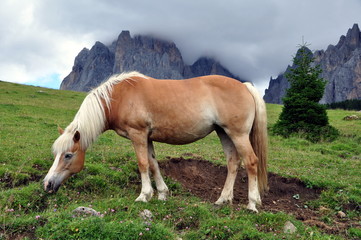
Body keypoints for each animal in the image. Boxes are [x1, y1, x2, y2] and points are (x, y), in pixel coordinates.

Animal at [43, 71, 268, 212]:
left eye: (68, 155)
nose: (47, 184)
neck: (119, 97)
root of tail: (245, 86)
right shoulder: (148, 138)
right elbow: (153, 164)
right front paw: (161, 194)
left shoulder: (138, 135)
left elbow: (142, 164)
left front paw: (144, 195)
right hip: (224, 133)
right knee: (233, 163)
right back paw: (222, 200)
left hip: (238, 134)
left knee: (251, 162)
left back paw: (252, 204)